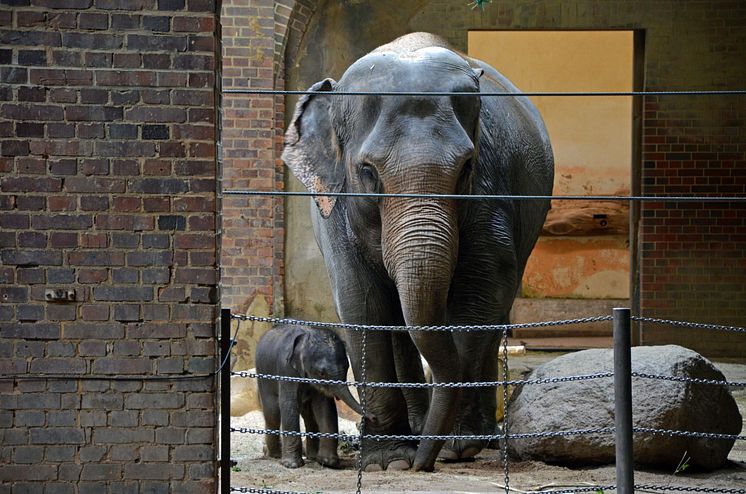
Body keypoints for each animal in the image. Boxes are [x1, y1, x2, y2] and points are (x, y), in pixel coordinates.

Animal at [254, 324, 364, 466]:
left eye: (347, 367)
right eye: (321, 373)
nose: (374, 418)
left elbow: (325, 406)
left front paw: (328, 462)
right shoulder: (286, 368)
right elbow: (289, 404)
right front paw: (292, 465)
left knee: (308, 416)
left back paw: (312, 457)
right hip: (263, 375)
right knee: (272, 413)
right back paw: (274, 455)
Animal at [282, 30, 548, 470]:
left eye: (466, 167)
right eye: (368, 171)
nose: (424, 463)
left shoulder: (492, 192)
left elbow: (478, 294)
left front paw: (456, 446)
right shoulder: (337, 209)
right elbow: (362, 303)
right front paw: (389, 459)